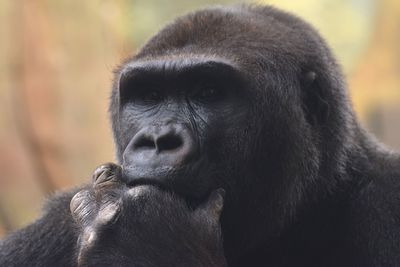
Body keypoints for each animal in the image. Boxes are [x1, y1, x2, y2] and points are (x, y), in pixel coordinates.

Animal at [0, 4, 400, 267]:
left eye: (208, 92)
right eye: (150, 96)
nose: (157, 141)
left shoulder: (387, 196)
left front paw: (150, 239)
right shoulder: (52, 225)